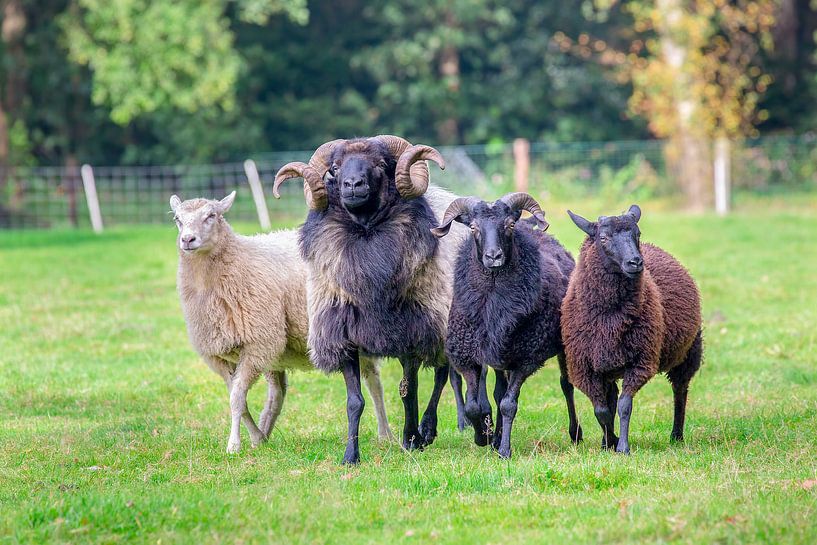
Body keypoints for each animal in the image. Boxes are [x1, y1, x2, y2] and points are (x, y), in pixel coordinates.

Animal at [169, 191, 392, 454]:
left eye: (211, 215)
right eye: (177, 219)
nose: (187, 239)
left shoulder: (257, 343)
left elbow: (236, 399)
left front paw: (233, 445)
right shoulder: (220, 356)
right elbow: (239, 399)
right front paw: (255, 438)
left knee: (374, 382)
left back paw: (385, 434)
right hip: (277, 352)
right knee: (277, 394)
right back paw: (265, 433)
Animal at [273, 135, 470, 464]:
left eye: (380, 164)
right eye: (335, 167)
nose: (352, 184)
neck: (366, 233)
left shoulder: (412, 331)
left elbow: (409, 390)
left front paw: (411, 438)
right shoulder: (344, 336)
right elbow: (354, 401)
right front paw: (350, 455)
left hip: (441, 321)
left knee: (444, 375)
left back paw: (429, 429)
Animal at [432, 192, 582, 458]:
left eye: (510, 225)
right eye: (473, 227)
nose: (493, 257)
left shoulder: (526, 357)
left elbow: (508, 404)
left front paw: (504, 450)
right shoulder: (468, 355)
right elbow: (474, 406)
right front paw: (483, 436)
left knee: (566, 385)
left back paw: (574, 433)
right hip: (502, 356)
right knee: (498, 390)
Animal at [561, 205, 703, 454]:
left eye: (637, 234)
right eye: (603, 237)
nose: (635, 262)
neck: (609, 319)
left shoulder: (640, 362)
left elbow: (624, 406)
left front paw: (623, 447)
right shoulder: (585, 368)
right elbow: (602, 411)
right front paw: (609, 441)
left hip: (689, 351)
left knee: (680, 391)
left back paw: (676, 435)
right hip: (608, 364)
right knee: (611, 399)